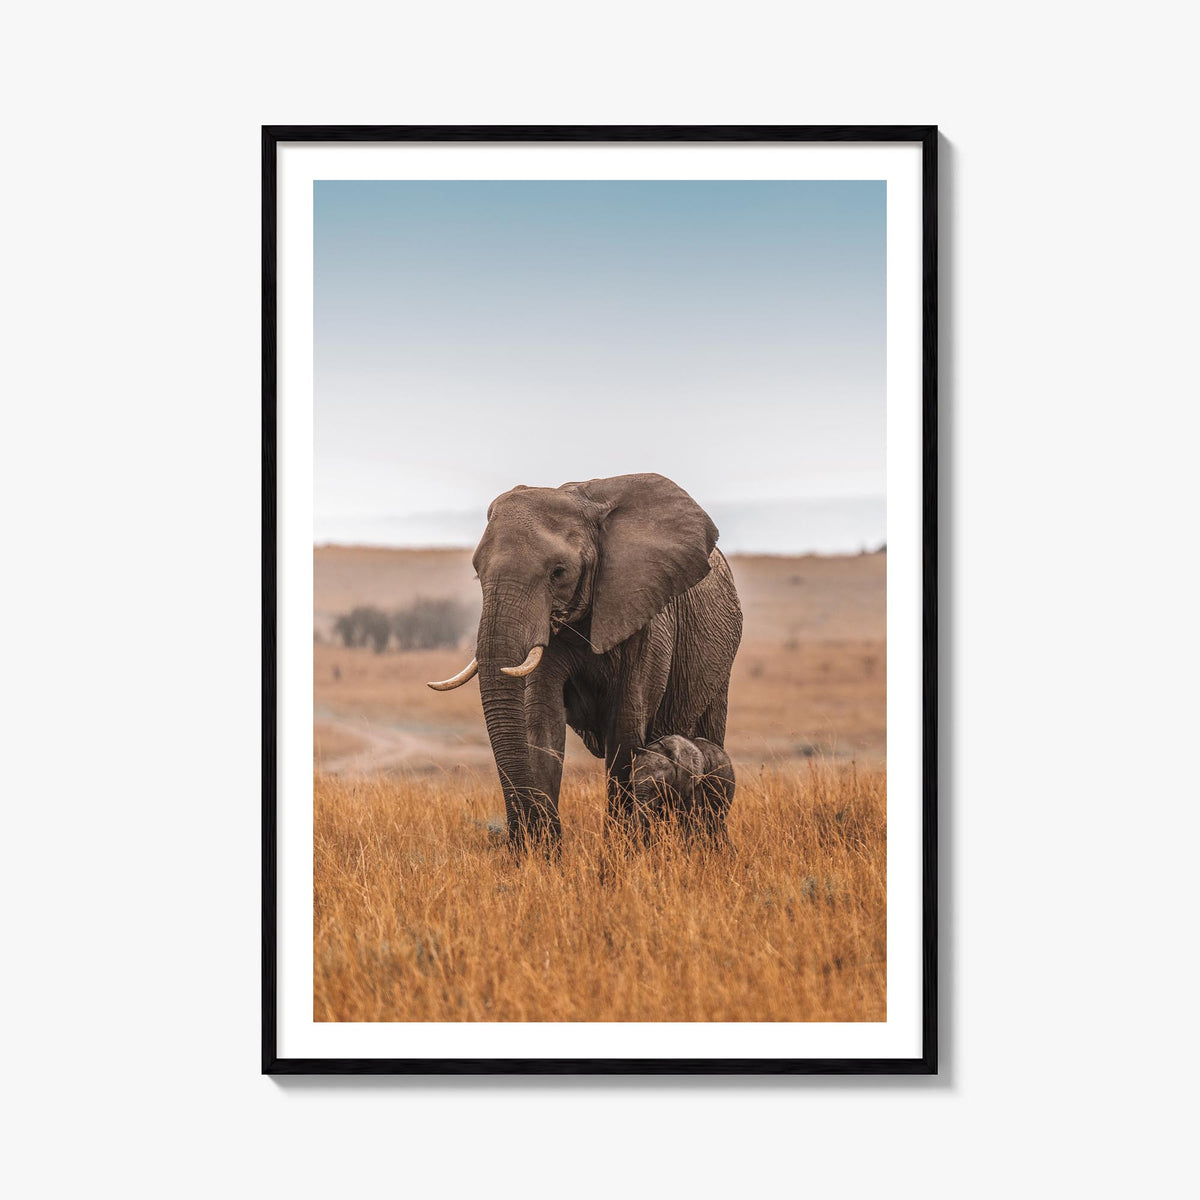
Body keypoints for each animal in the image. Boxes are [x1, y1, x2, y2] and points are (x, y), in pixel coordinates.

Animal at [428, 473, 742, 852]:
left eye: (558, 572)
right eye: (477, 572)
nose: (518, 840)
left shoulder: (646, 614)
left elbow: (625, 726)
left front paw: (622, 853)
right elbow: (542, 723)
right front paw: (541, 856)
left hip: (720, 658)